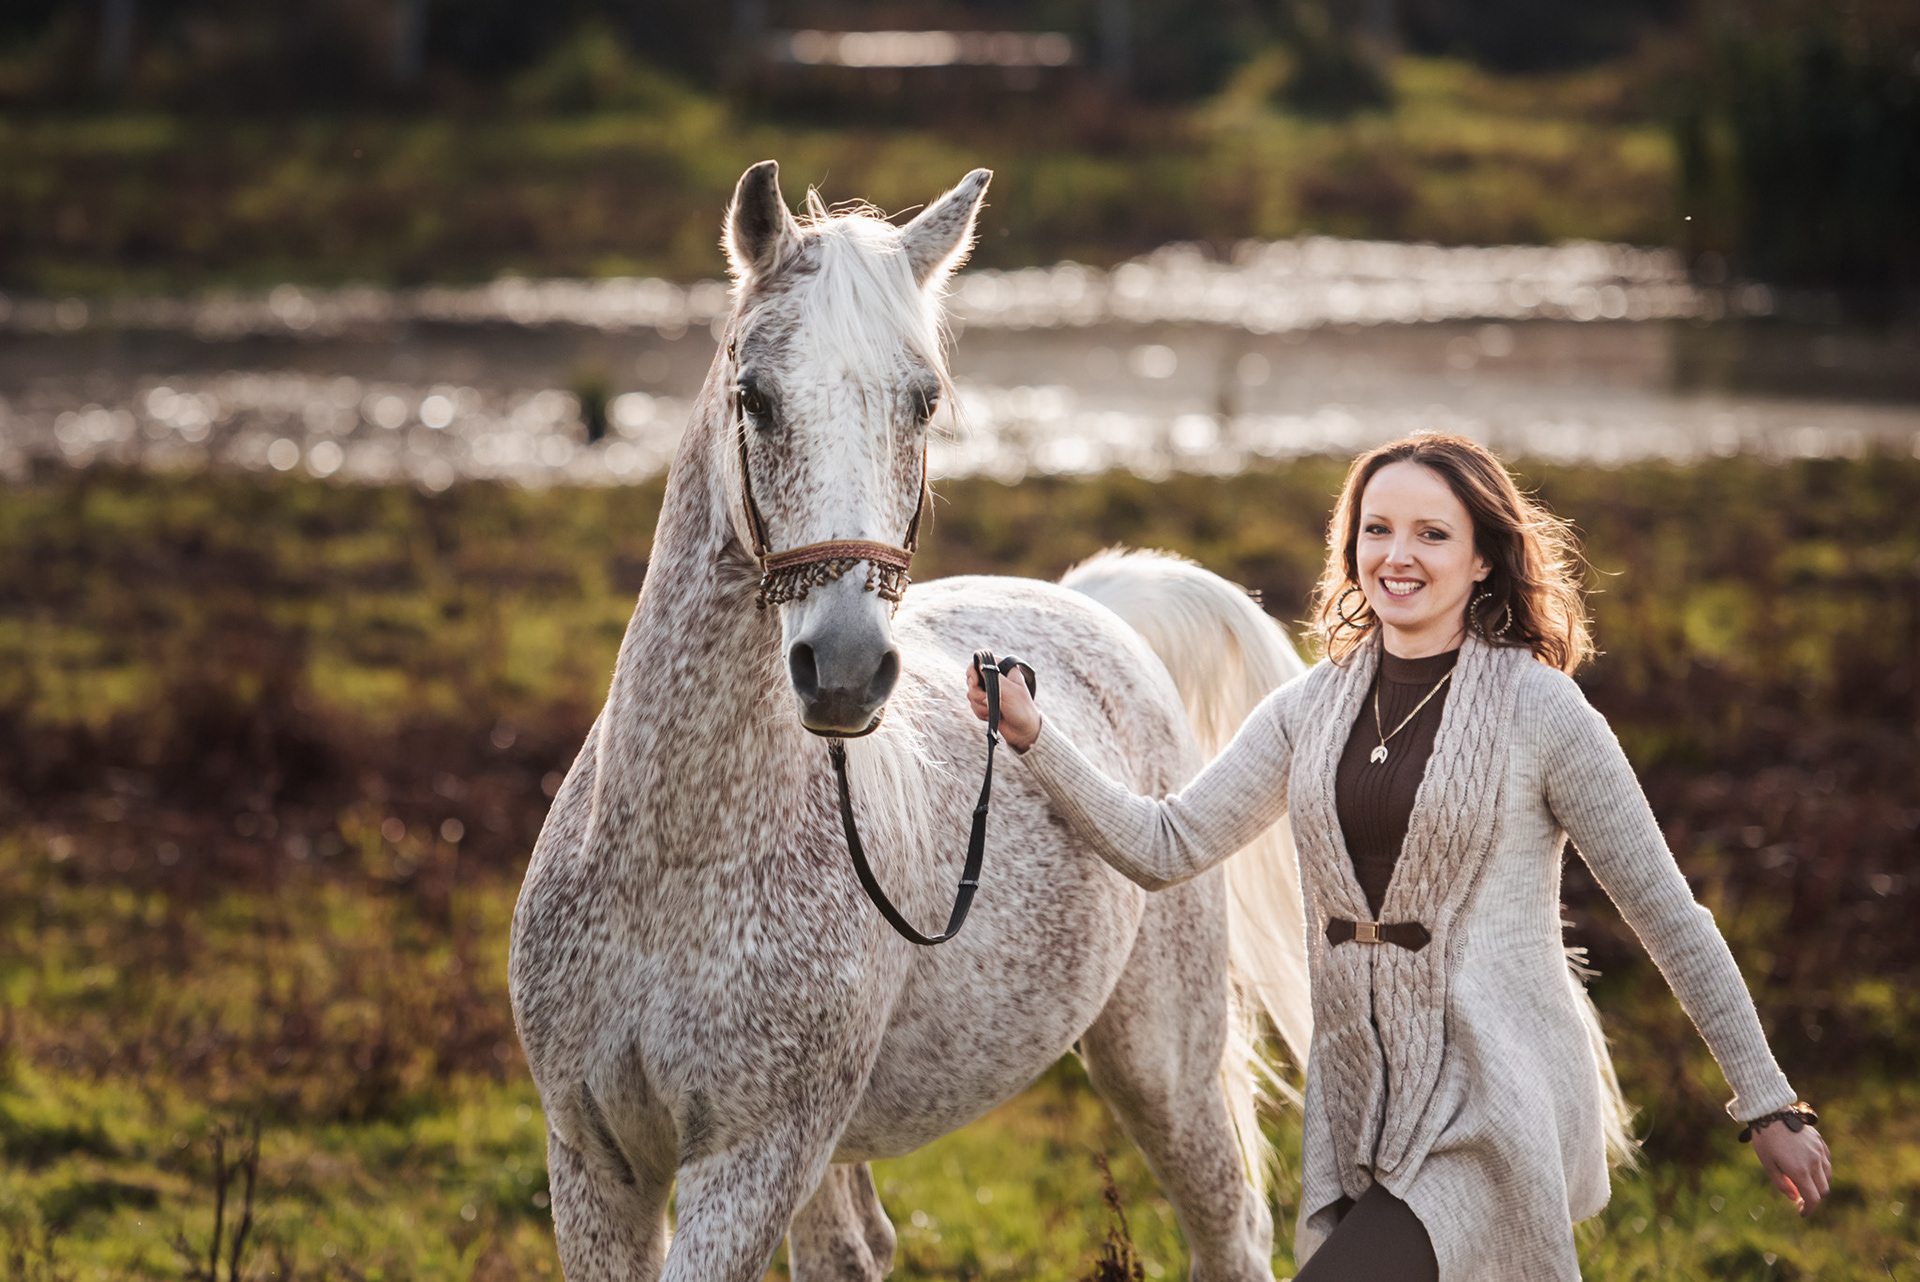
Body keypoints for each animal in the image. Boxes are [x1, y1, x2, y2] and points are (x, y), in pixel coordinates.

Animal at [508, 161, 1315, 1282]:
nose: (845, 669)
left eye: (924, 400)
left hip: (1162, 1062)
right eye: (755, 396)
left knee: (1229, 1224)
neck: (673, 857)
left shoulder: (749, 1163)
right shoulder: (594, 1163)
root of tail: (1099, 605)